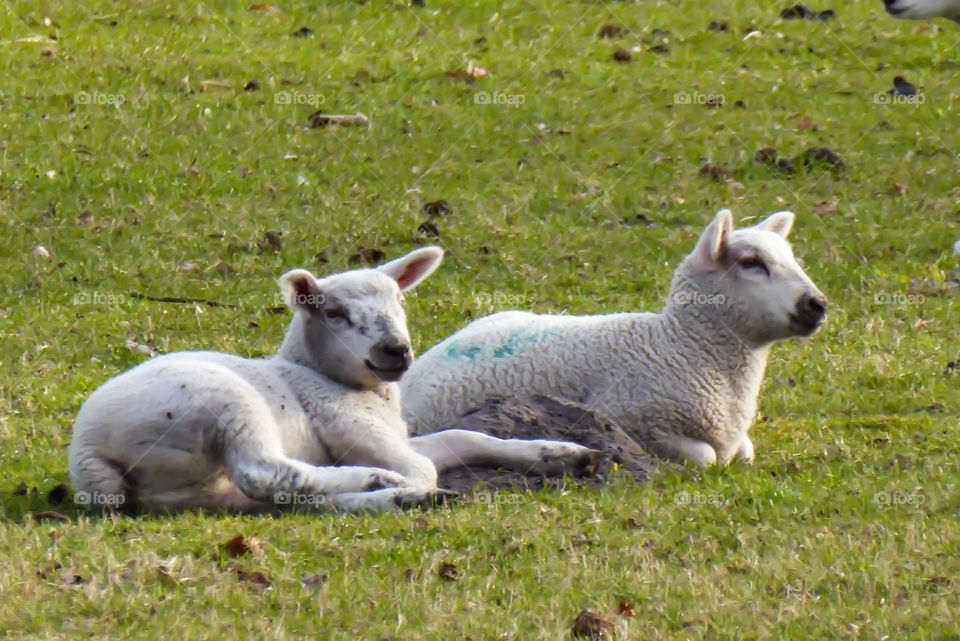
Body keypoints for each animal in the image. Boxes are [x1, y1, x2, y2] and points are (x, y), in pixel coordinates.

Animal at [69, 247, 595, 513]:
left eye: (400, 301)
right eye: (335, 313)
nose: (395, 350)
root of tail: (89, 451)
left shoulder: (393, 434)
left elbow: (464, 438)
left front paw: (557, 453)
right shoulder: (353, 427)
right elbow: (426, 463)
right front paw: (409, 483)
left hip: (202, 490)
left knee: (286, 497)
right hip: (221, 402)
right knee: (266, 473)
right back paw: (383, 487)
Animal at [399, 210, 828, 466]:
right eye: (751, 263)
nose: (817, 304)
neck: (685, 346)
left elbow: (745, 453)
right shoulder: (638, 422)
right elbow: (706, 457)